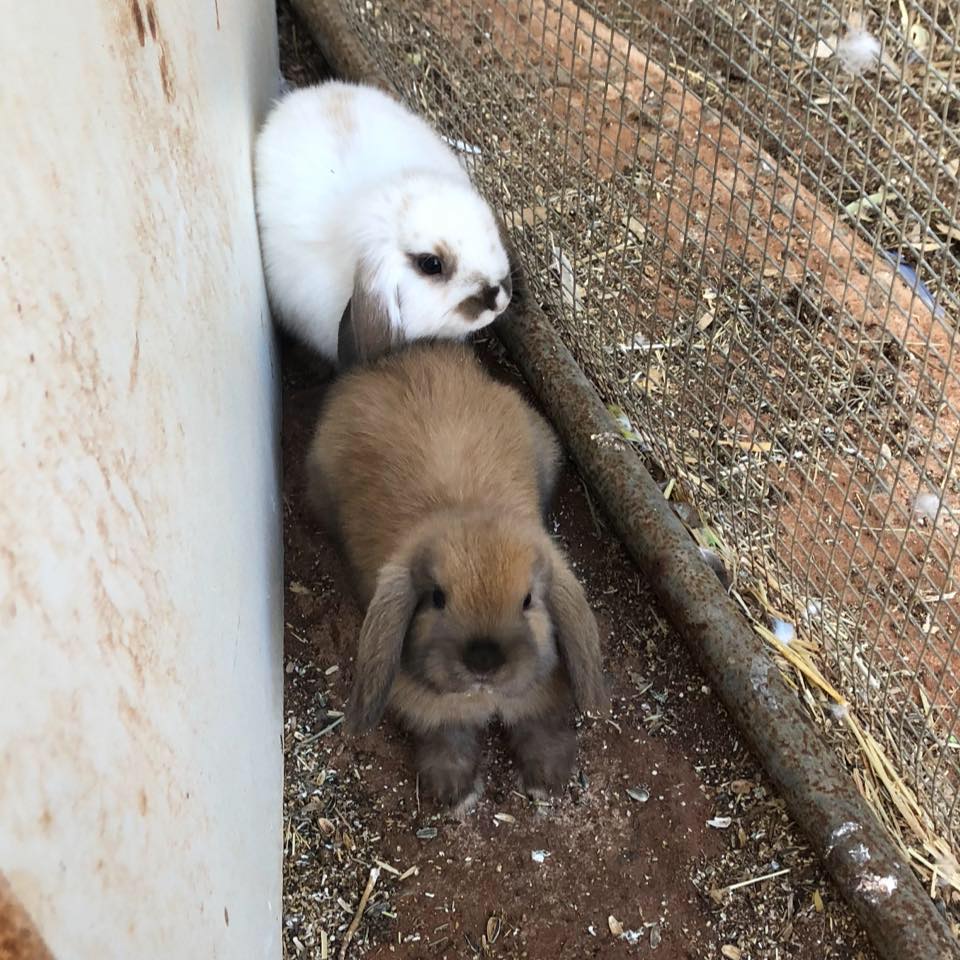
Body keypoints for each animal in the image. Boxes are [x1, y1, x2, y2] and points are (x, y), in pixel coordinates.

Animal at [304, 309, 609, 810]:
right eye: (437, 598)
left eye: (529, 600)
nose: (483, 661)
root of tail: (405, 355)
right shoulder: (432, 711)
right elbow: (447, 736)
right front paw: (454, 791)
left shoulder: (540, 698)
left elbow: (542, 724)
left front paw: (548, 777)